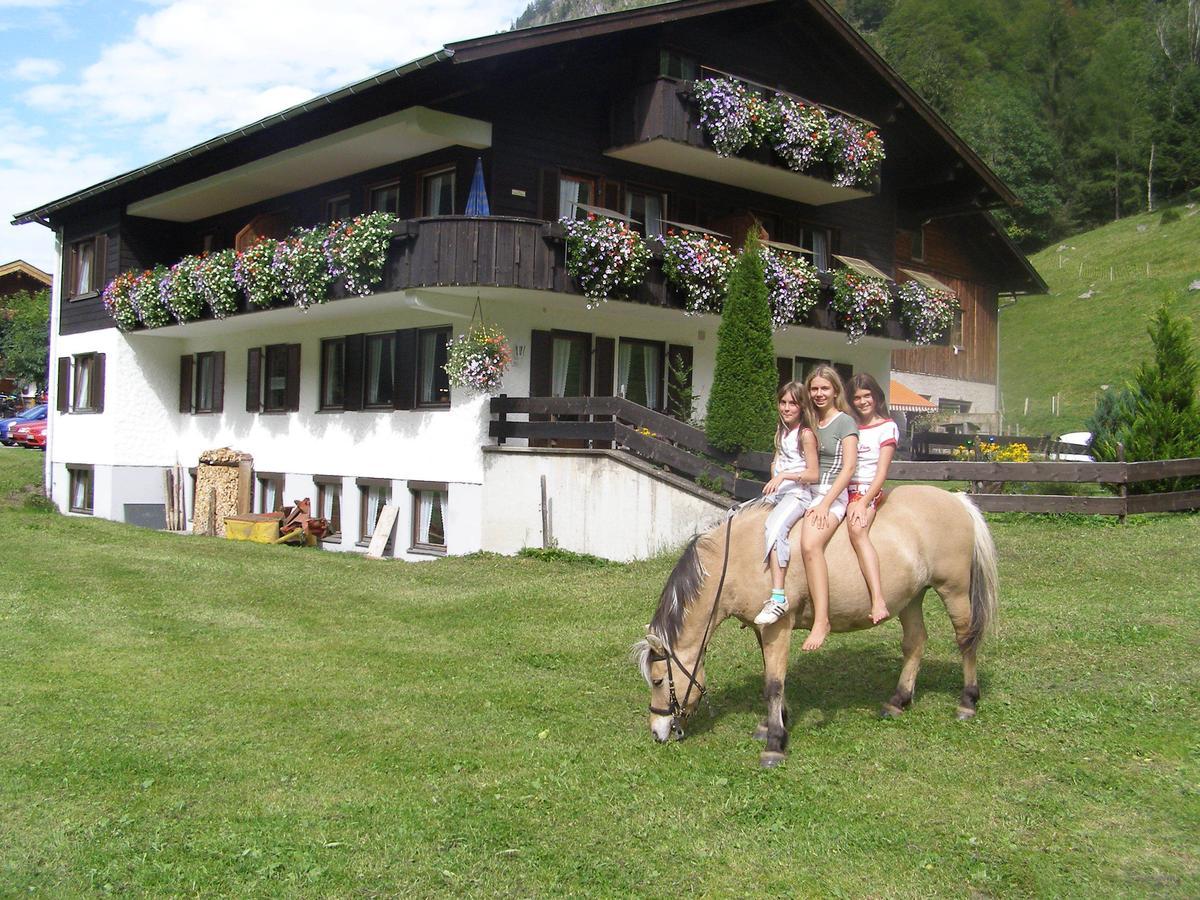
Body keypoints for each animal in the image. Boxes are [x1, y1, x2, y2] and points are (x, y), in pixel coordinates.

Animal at [633, 487, 998, 768]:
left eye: (658, 680)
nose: (657, 731)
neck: (740, 554)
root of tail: (957, 500)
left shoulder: (777, 626)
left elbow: (773, 684)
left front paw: (775, 743)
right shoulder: (763, 630)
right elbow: (773, 676)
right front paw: (774, 722)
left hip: (954, 590)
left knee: (966, 640)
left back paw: (967, 701)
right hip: (911, 597)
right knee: (915, 643)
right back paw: (899, 699)